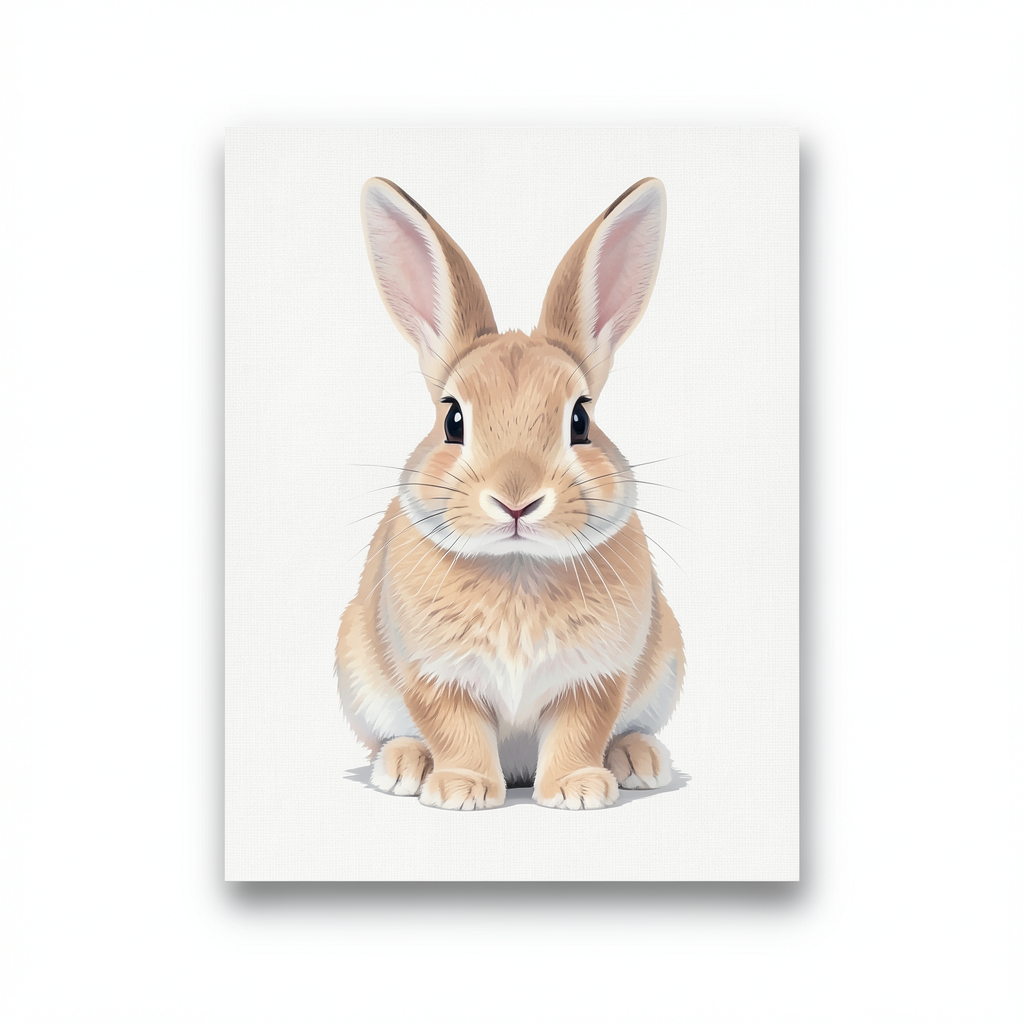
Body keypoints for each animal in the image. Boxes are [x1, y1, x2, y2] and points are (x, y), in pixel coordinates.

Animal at [336, 176, 685, 810]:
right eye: (453, 419)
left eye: (580, 420)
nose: (516, 500)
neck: (517, 564)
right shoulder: (434, 675)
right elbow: (456, 730)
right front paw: (463, 790)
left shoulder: (595, 677)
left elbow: (580, 730)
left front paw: (575, 790)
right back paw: (405, 766)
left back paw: (637, 760)